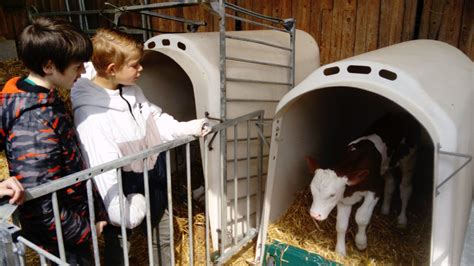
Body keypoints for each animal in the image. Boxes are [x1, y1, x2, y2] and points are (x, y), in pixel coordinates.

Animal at [306, 112, 416, 256]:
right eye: (312, 190)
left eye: (332, 195)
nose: (314, 214)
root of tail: (399, 113)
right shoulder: (345, 198)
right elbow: (341, 225)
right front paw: (340, 252)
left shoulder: (375, 189)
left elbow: (361, 217)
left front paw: (361, 242)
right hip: (386, 167)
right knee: (390, 184)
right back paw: (385, 209)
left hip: (409, 158)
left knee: (405, 189)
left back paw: (402, 220)